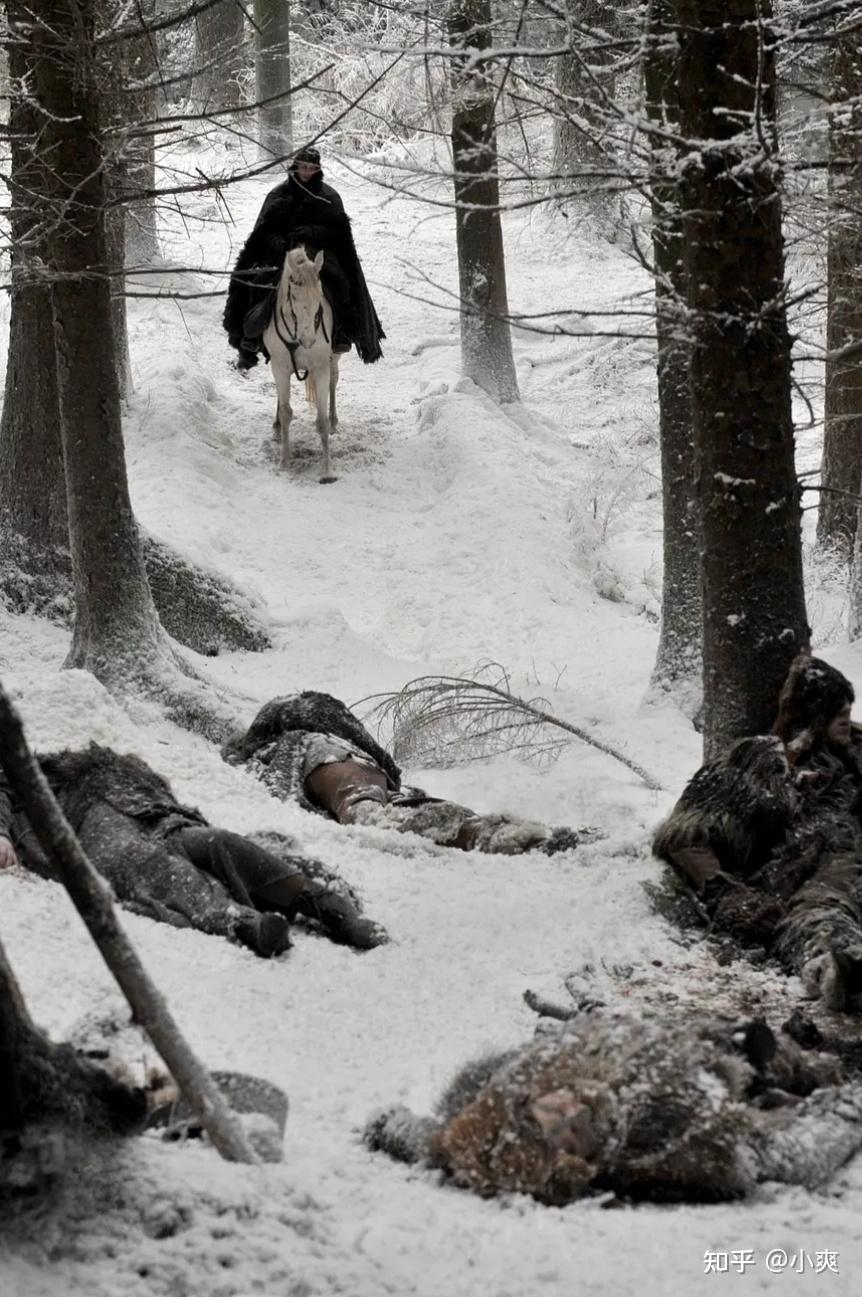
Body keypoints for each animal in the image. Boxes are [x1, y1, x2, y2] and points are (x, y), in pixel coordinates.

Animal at [261, 245, 339, 485]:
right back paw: (277, 427)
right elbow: (286, 412)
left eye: (319, 295)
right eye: (294, 295)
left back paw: (334, 421)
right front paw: (284, 462)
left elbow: (321, 421)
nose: (309, 340)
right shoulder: (279, 367)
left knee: (334, 382)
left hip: (333, 359)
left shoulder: (320, 368)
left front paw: (327, 470)